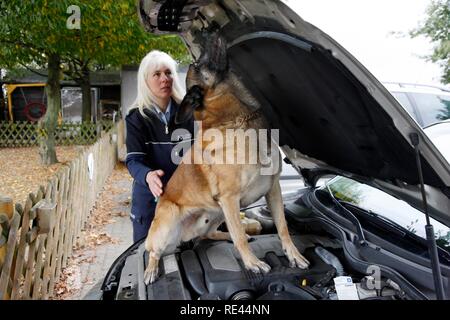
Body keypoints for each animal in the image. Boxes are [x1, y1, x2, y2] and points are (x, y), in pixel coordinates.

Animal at [144, 32, 310, 284]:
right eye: (197, 63)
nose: (209, 33)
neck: (240, 120)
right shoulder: (230, 198)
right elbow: (240, 235)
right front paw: (253, 264)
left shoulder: (273, 189)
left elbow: (282, 226)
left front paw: (293, 255)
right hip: (171, 222)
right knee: (153, 251)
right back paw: (151, 270)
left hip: (216, 214)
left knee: (210, 234)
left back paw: (223, 237)